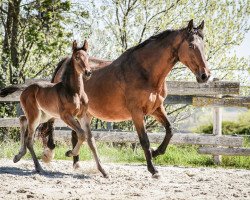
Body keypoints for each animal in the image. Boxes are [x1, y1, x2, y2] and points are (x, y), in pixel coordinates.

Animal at [0, 39, 107, 177]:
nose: (88, 72)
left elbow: (91, 140)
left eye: (87, 57)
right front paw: (69, 152)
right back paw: (39, 167)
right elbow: (81, 134)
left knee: (22, 119)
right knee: (29, 139)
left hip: (44, 115)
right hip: (36, 115)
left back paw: (18, 156)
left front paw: (103, 171)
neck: (74, 91)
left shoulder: (82, 116)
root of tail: (26, 88)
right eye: (77, 57)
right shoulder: (66, 116)